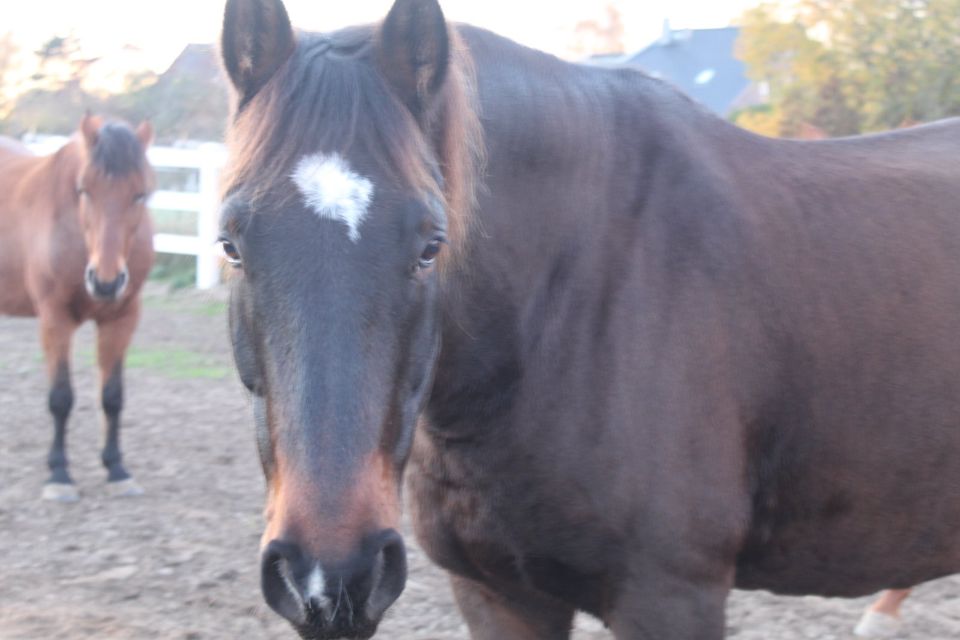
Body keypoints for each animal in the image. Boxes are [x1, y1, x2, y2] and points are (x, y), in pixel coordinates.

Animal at [0, 117, 156, 502]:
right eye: (85, 190)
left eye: (140, 193)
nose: (105, 282)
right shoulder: (55, 319)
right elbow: (61, 397)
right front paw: (59, 475)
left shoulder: (121, 319)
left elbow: (112, 396)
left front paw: (117, 469)